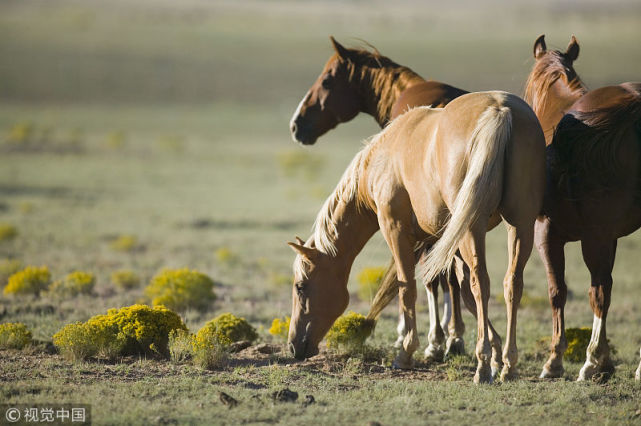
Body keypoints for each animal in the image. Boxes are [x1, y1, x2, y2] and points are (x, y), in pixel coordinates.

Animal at [288, 91, 544, 384]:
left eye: (300, 286)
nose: (293, 346)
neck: (382, 157)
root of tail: (499, 110)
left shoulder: (395, 229)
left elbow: (407, 286)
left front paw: (406, 352)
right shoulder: (445, 239)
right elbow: (462, 291)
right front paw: (494, 350)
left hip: (472, 229)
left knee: (482, 283)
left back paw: (481, 366)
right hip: (519, 225)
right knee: (511, 284)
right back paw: (509, 364)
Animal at [524, 34, 640, 380]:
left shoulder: (547, 233)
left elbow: (558, 292)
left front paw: (555, 361)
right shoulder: (609, 236)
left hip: (593, 237)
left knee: (597, 292)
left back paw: (591, 361)